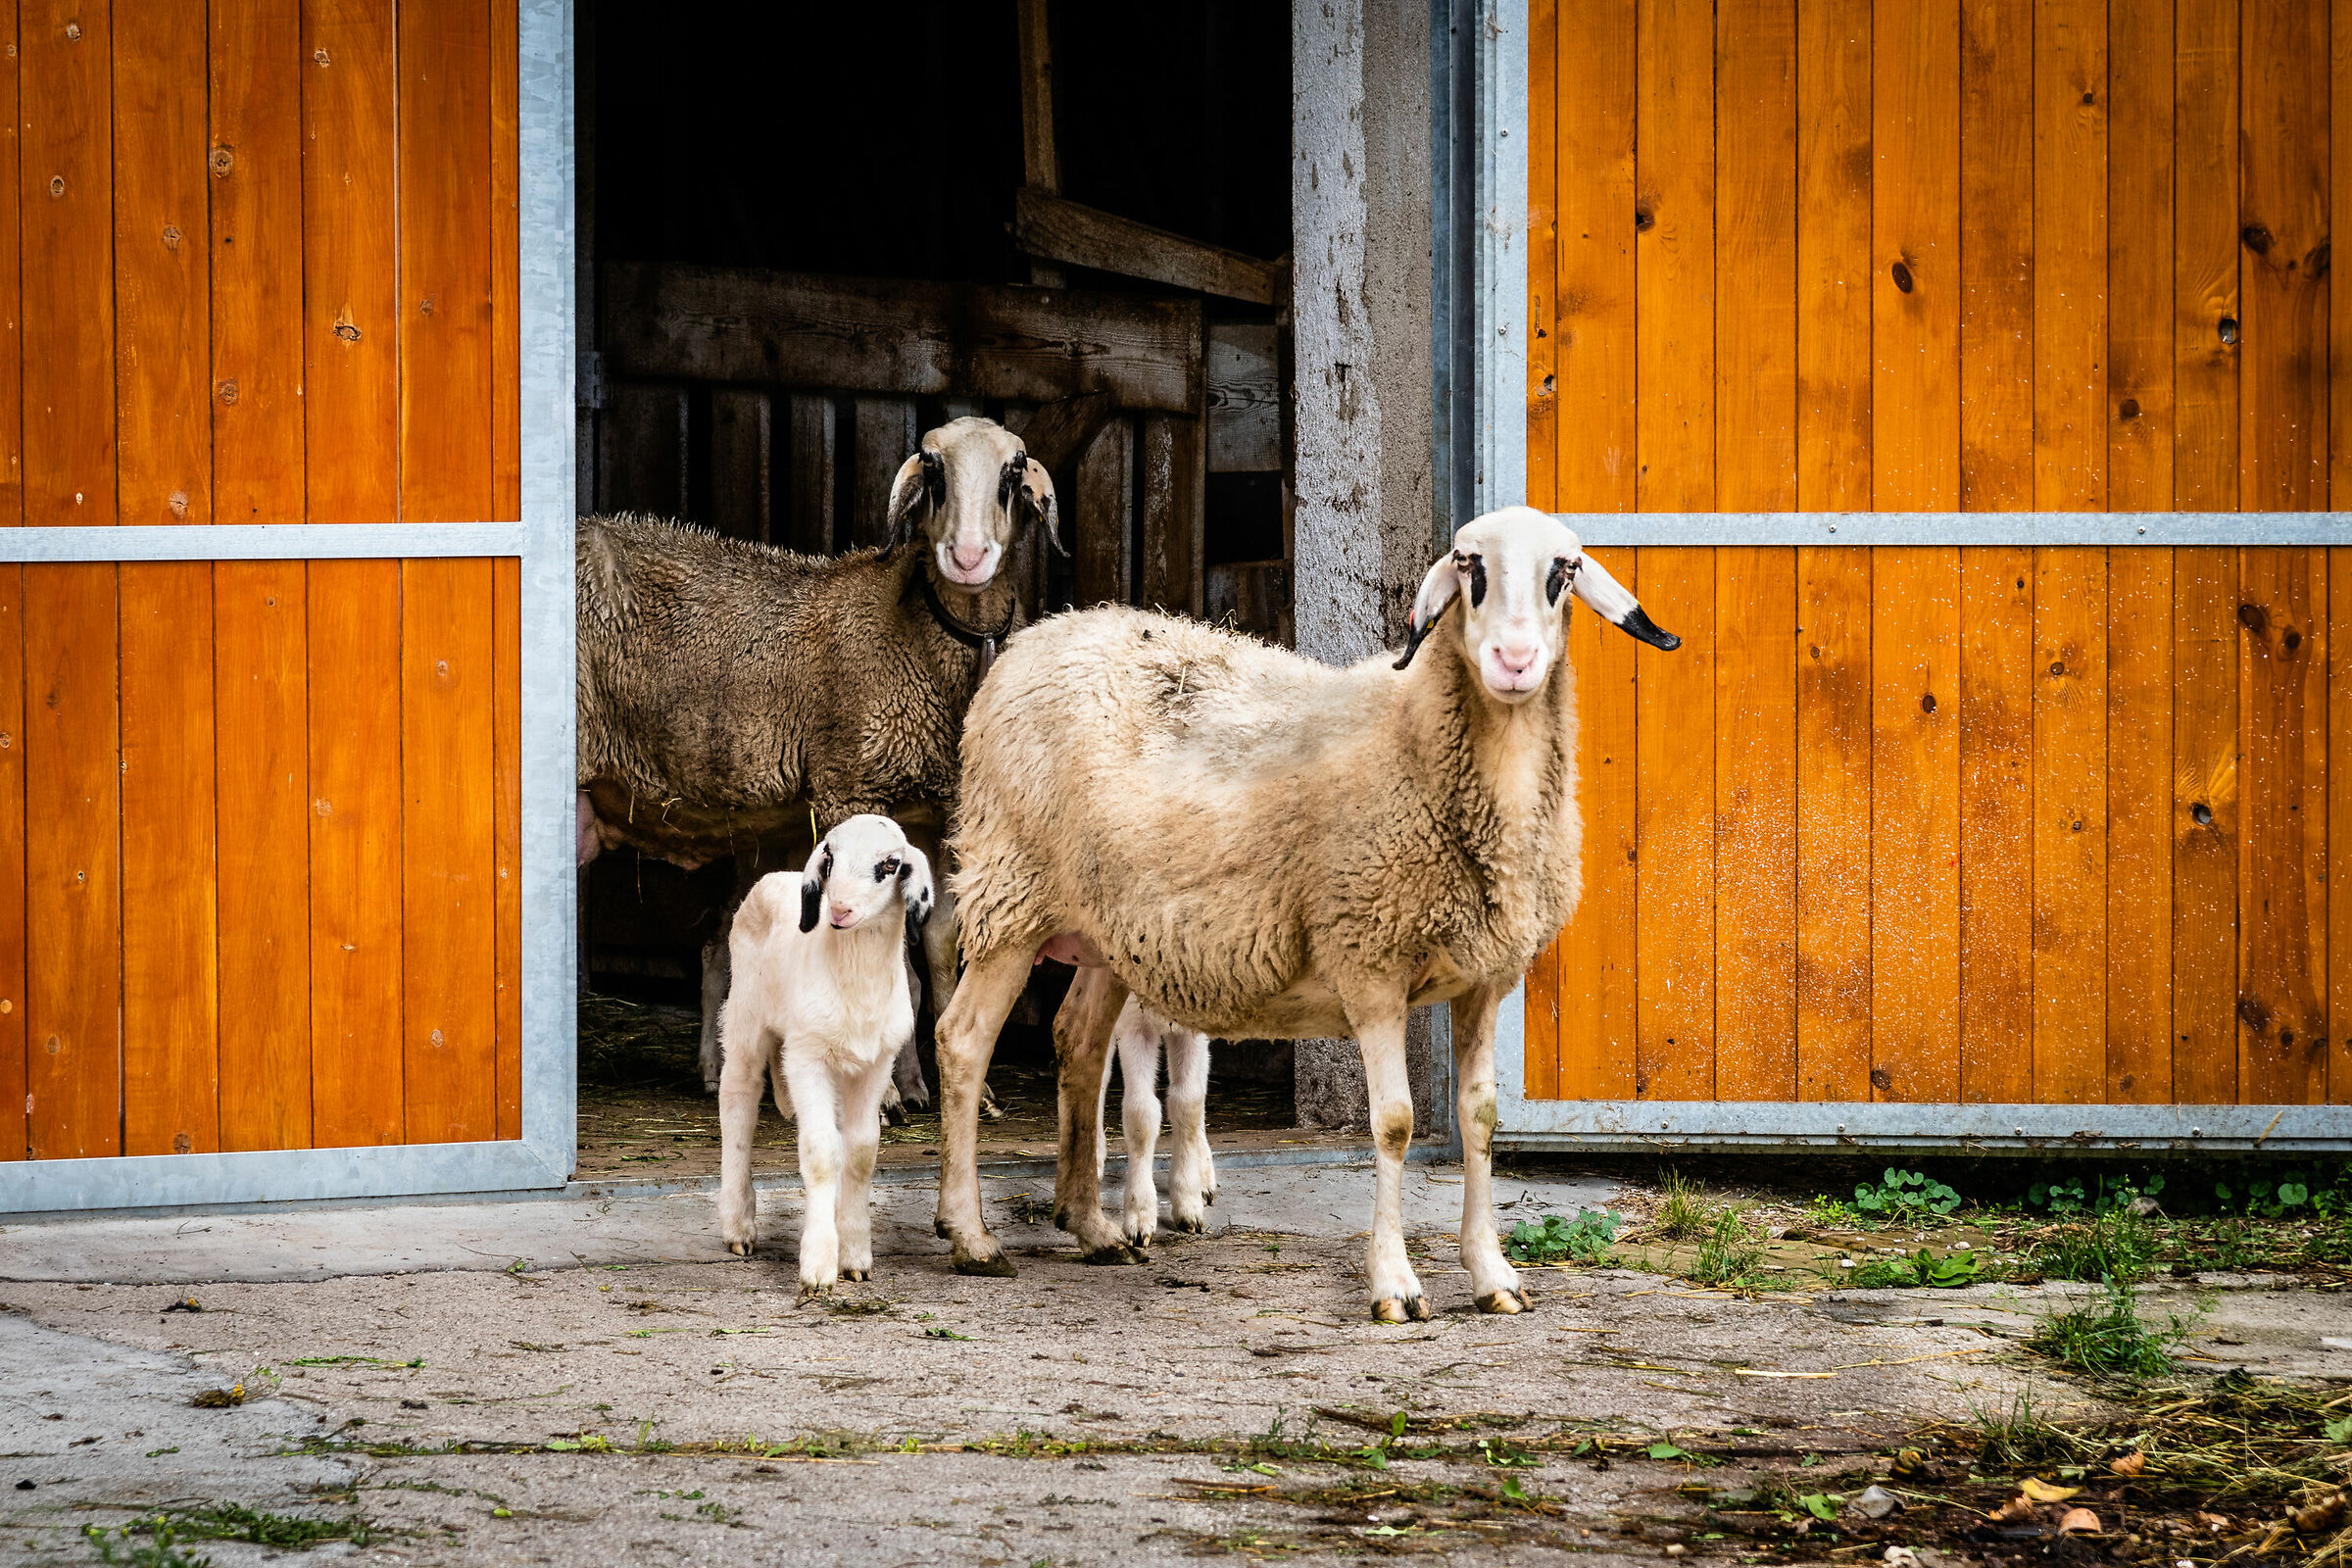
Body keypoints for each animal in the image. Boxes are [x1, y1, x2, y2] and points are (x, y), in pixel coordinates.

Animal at [575, 416, 1061, 1104]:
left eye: (1013, 471)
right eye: (933, 469)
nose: (968, 559)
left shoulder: (944, 811)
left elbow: (939, 947)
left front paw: (949, 1087)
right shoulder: (851, 784)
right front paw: (890, 1092)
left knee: (721, 946)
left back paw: (720, 1071)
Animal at [715, 815, 935, 1295]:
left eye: (891, 863)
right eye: (830, 857)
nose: (839, 911)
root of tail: (776, 876)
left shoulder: (875, 1064)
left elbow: (860, 1151)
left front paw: (853, 1255)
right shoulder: (807, 1058)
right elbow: (819, 1153)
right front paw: (817, 1267)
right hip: (745, 1017)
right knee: (738, 1099)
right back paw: (738, 1225)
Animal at [1092, 999, 1216, 1245]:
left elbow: (1189, 1103)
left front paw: (1188, 1202)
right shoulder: (1133, 1022)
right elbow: (1141, 1114)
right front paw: (1140, 1213)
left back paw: (1204, 1175)